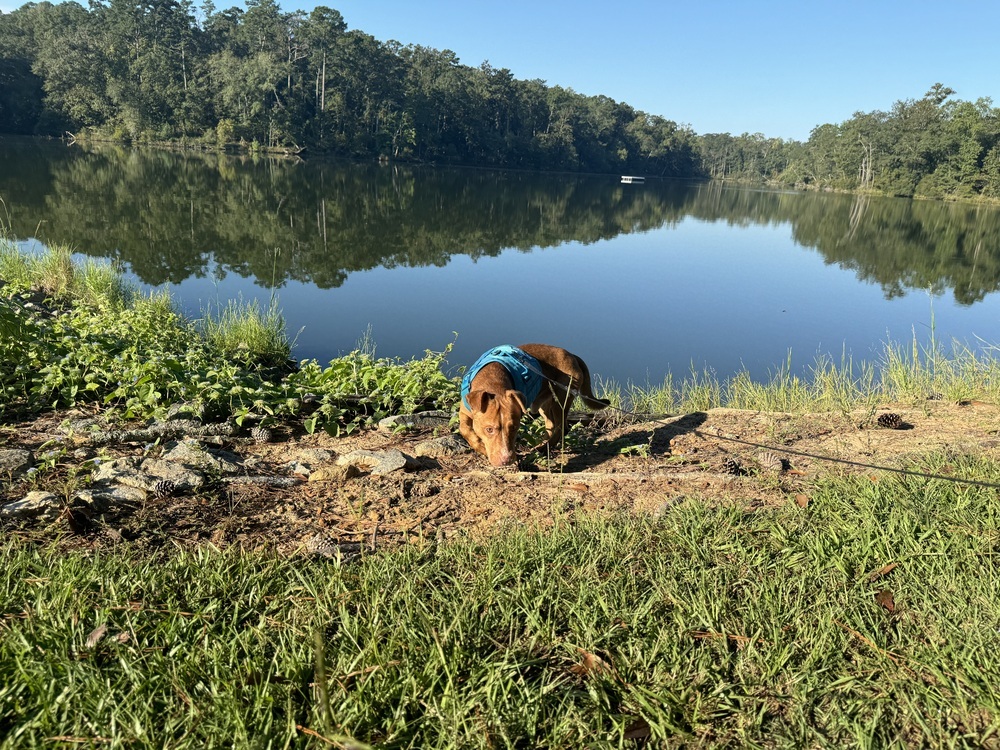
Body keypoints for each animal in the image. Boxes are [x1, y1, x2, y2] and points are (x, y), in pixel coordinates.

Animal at [458, 346, 608, 464]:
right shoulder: (464, 410)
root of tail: (573, 356)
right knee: (551, 424)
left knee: (561, 427)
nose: (507, 460)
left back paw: (543, 448)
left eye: (514, 427)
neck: (493, 382)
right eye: (489, 429)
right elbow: (464, 429)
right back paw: (541, 444)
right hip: (545, 402)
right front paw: (481, 447)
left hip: (562, 396)